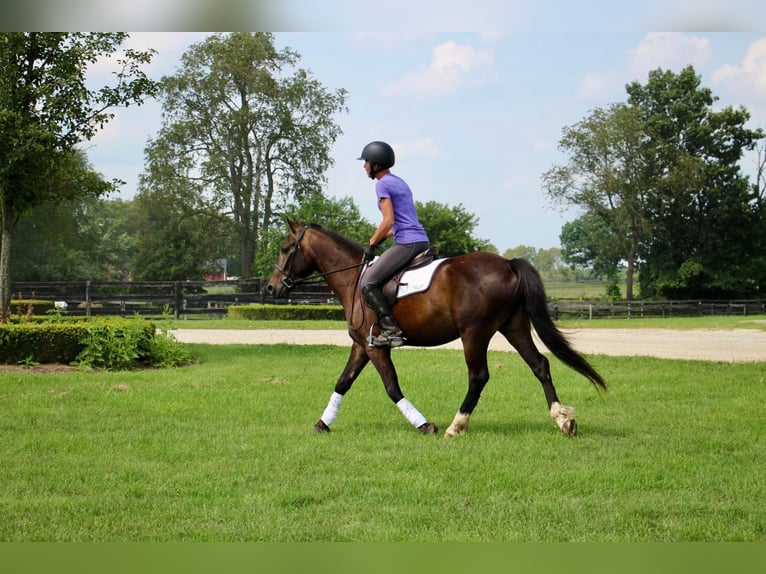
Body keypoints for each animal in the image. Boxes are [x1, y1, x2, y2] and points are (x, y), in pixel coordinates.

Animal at [264, 219, 608, 436]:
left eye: (285, 248)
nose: (271, 287)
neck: (355, 280)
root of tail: (508, 264)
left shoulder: (377, 349)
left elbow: (392, 388)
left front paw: (424, 425)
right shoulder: (362, 345)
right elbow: (342, 383)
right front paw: (322, 423)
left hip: (475, 334)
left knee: (479, 376)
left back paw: (457, 426)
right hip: (514, 327)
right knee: (540, 365)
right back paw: (563, 421)